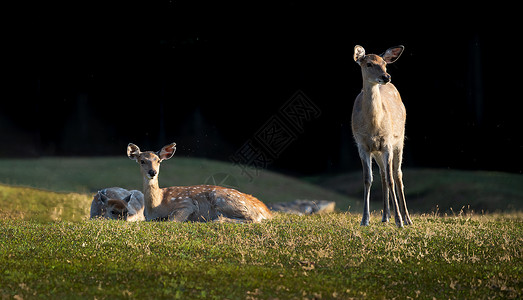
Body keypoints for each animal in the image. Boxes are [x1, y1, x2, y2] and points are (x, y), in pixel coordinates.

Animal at [128, 143, 274, 223]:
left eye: (158, 161)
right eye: (142, 161)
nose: (152, 172)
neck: (156, 205)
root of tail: (266, 211)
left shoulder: (186, 203)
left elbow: (172, 220)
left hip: (223, 199)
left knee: (254, 218)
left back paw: (217, 220)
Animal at [352, 44, 414, 227]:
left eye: (384, 64)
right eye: (369, 64)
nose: (386, 76)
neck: (373, 126)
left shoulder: (387, 143)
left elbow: (392, 179)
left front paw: (399, 220)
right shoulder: (362, 145)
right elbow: (367, 179)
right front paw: (364, 219)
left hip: (399, 141)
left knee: (397, 174)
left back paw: (407, 218)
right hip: (377, 152)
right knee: (383, 175)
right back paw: (385, 216)